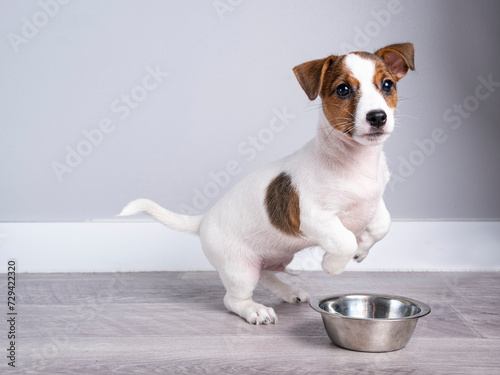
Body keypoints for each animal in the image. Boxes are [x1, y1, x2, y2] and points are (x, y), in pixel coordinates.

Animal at [120, 42, 414, 326]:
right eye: (343, 89)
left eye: (387, 84)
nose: (377, 117)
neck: (355, 161)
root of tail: (203, 220)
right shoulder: (313, 216)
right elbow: (344, 240)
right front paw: (332, 264)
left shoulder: (374, 200)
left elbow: (383, 224)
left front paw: (362, 249)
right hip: (239, 267)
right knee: (234, 298)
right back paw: (255, 310)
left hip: (269, 258)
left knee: (267, 274)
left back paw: (289, 290)